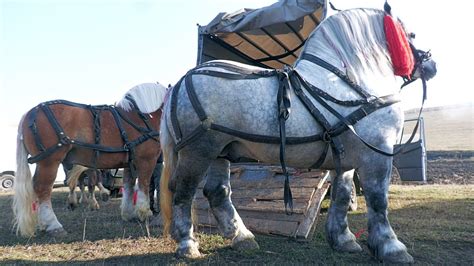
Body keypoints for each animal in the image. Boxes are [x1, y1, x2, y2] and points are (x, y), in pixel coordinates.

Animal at [12, 83, 167, 237]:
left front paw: (129, 214)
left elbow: (128, 187)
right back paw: (53, 224)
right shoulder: (146, 160)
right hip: (49, 162)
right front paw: (145, 213)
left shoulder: (130, 164)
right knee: (42, 188)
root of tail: (29, 113)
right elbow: (144, 185)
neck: (143, 116)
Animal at [160, 7, 436, 262]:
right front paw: (391, 247)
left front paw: (343, 239)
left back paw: (242, 237)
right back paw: (187, 244)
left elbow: (342, 196)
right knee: (183, 192)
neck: (351, 81)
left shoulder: (345, 160)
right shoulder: (376, 154)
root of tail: (181, 82)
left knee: (217, 192)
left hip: (221, 151)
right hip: (198, 151)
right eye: (411, 34)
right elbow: (378, 200)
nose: (431, 64)